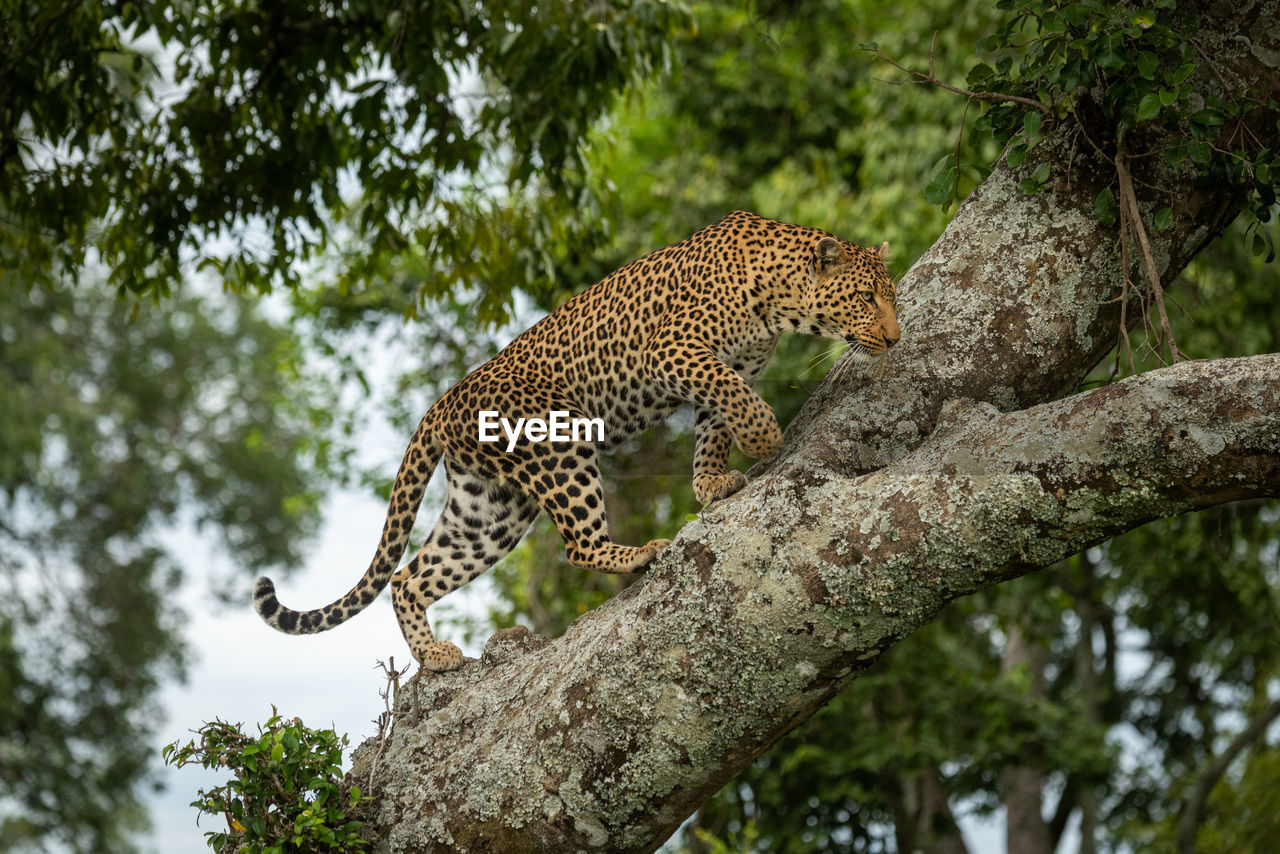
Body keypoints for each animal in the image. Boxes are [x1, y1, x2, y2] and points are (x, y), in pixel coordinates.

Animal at [252, 209, 901, 670]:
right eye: (866, 298)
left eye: (890, 297)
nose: (895, 339)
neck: (781, 300)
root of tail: (442, 404)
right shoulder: (679, 353)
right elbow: (739, 405)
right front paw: (764, 440)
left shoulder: (725, 366)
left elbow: (716, 424)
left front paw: (713, 481)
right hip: (559, 448)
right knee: (577, 546)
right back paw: (636, 553)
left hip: (490, 509)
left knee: (410, 576)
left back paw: (434, 656)